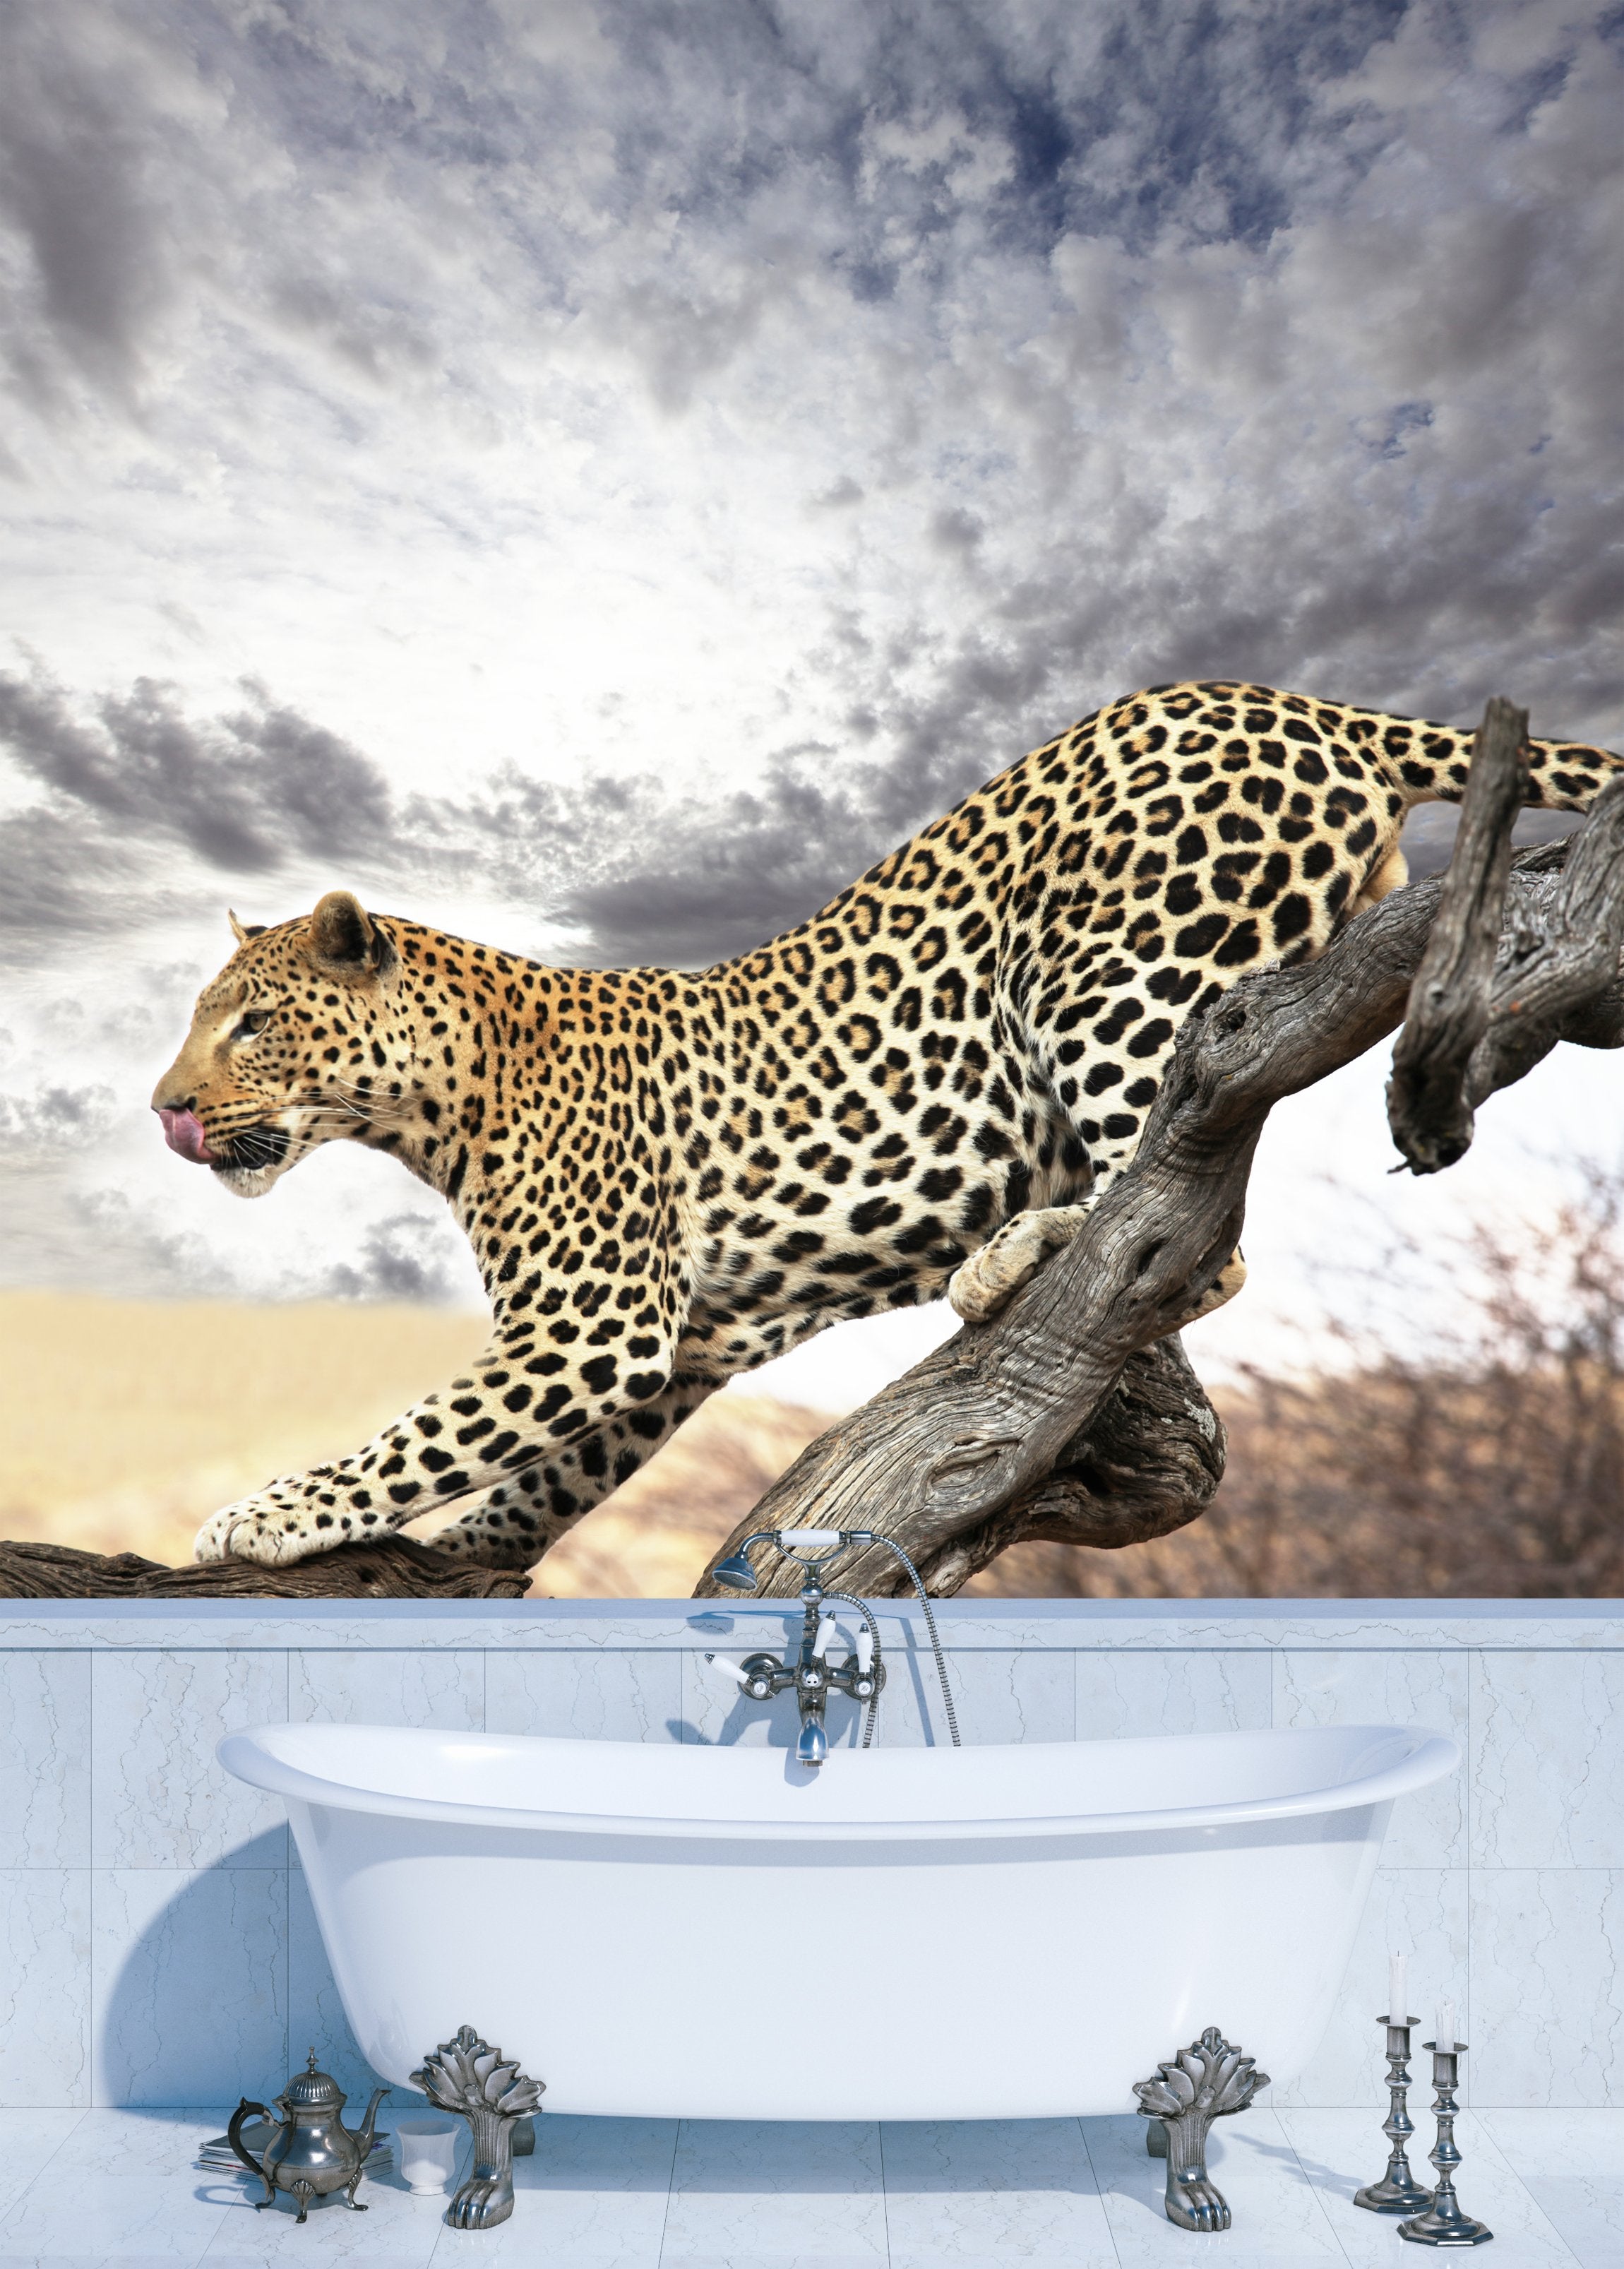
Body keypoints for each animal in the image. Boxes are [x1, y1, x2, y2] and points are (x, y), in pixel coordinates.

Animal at [152, 679, 1619, 1572]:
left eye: (250, 1023)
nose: (165, 1108)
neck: (438, 1100)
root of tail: (1293, 698)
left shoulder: (591, 1323)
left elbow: (423, 1432)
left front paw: (264, 1515)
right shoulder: (673, 1350)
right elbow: (524, 1477)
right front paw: (462, 1558)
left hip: (1111, 975)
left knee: (1193, 1219)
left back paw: (1014, 1254)